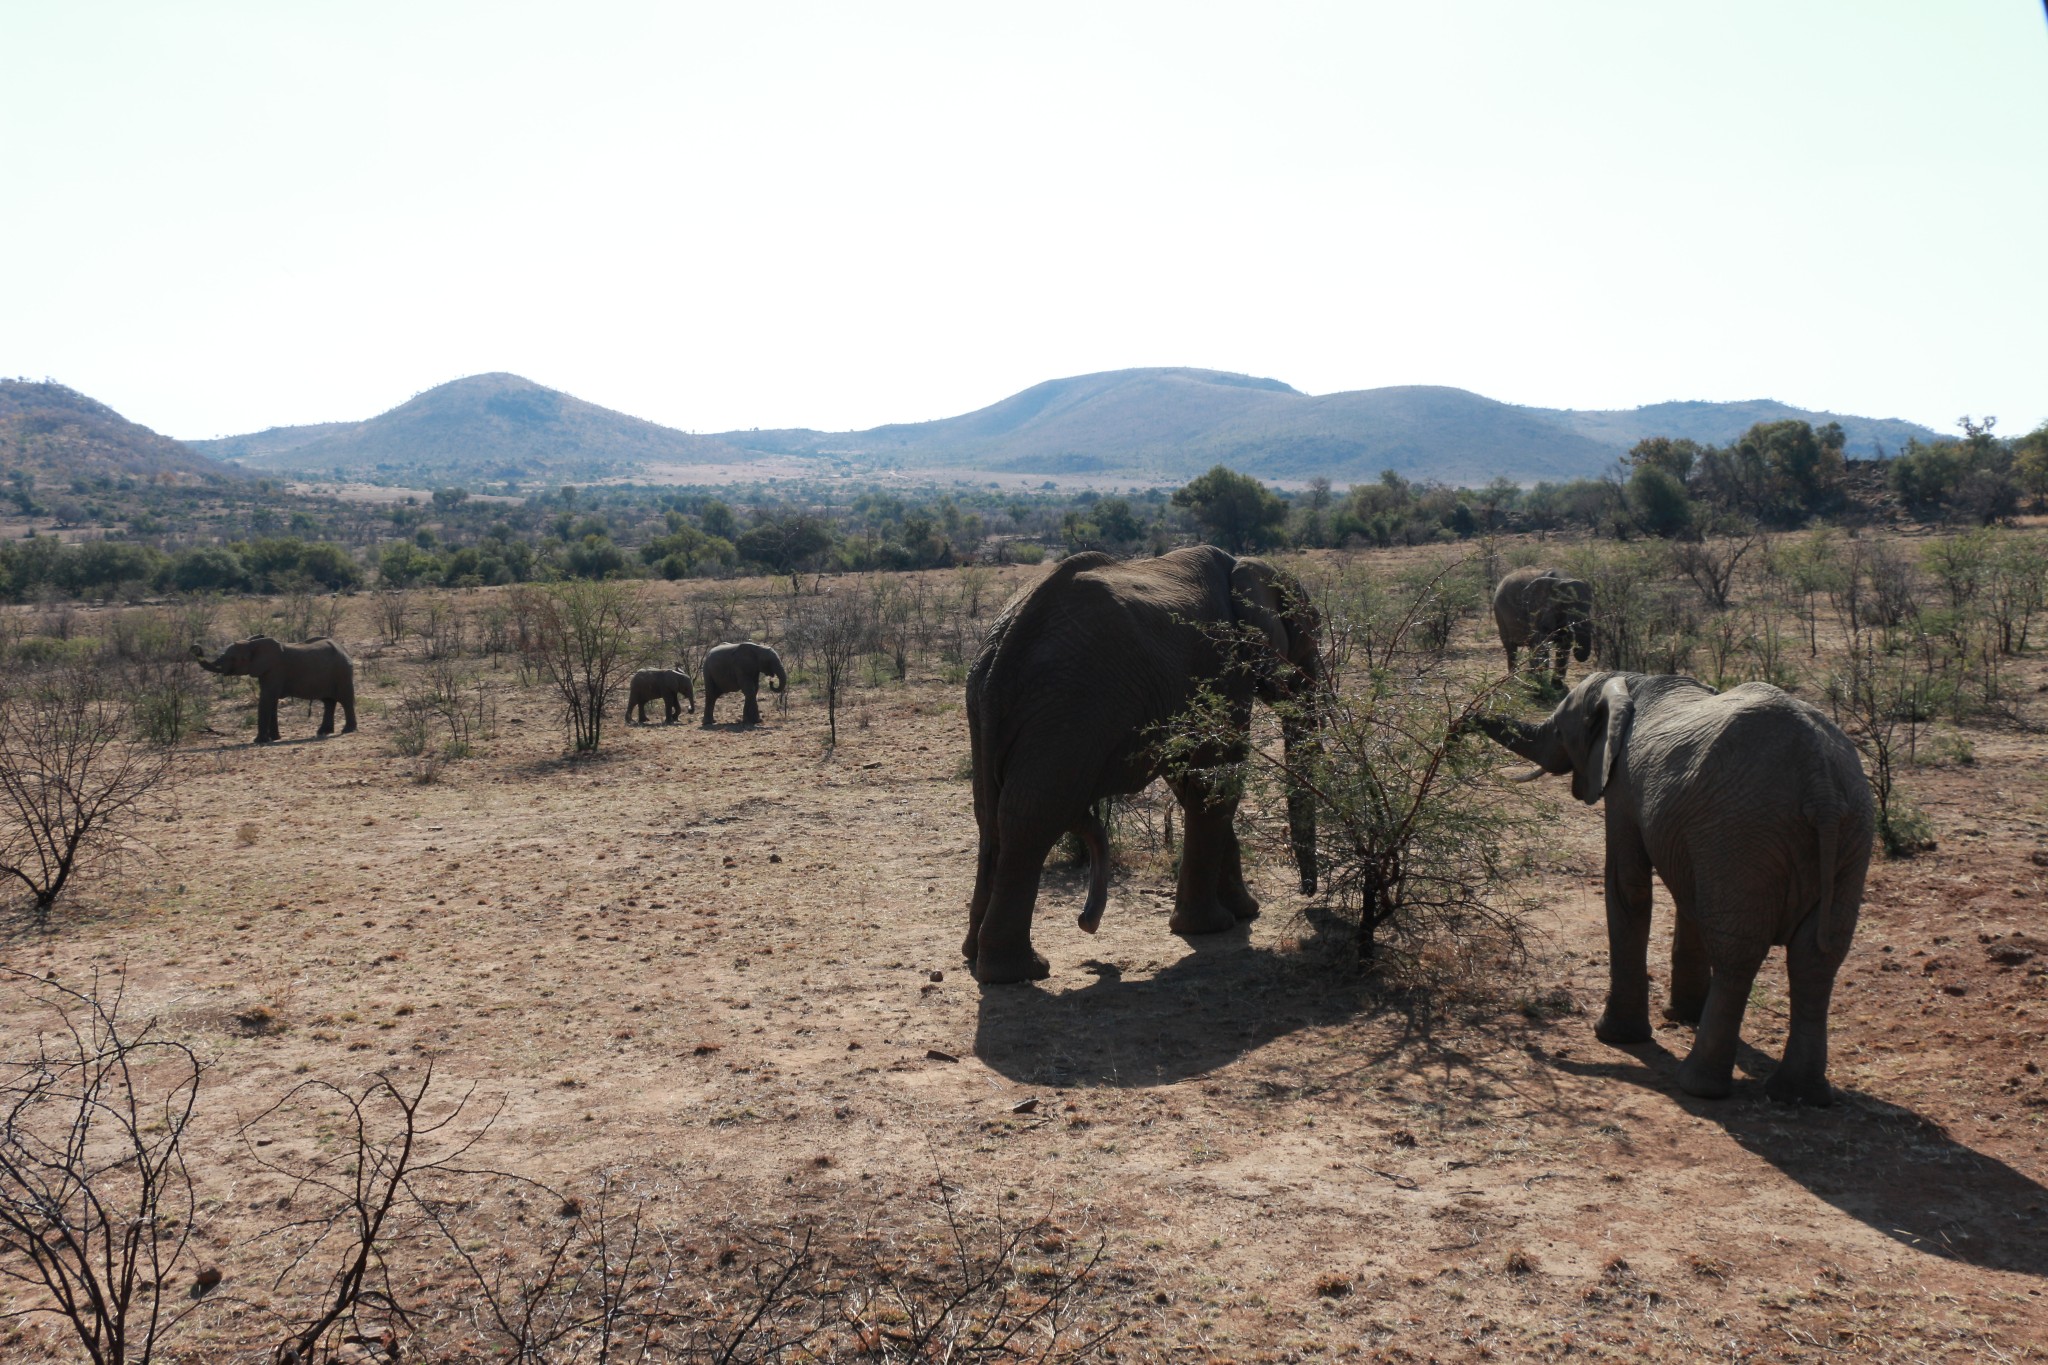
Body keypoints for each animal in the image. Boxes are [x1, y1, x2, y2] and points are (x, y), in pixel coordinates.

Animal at [193, 634, 358, 740]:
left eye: (233, 658)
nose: (196, 647)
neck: (252, 644)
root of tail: (343, 649)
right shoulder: (266, 672)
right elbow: (271, 701)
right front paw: (274, 738)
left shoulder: (275, 670)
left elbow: (267, 699)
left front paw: (259, 741)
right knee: (328, 701)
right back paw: (323, 732)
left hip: (342, 672)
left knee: (345, 700)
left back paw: (347, 730)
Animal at [962, 548, 1318, 986]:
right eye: (1310, 635)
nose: (1307, 895)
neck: (1244, 566)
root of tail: (1006, 643)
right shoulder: (1226, 663)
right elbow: (1218, 778)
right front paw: (1211, 927)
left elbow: (1191, 779)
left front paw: (1242, 912)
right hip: (1068, 709)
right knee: (1033, 817)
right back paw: (1019, 972)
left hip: (987, 705)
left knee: (990, 816)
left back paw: (976, 957)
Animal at [1474, 671, 1875, 1113]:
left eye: (1561, 731)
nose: (1461, 719)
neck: (1627, 682)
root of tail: (1821, 783)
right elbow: (1690, 899)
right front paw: (1681, 1016)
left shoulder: (1623, 785)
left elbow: (1627, 885)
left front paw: (1614, 1036)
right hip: (1852, 833)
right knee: (1817, 957)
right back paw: (1801, 1096)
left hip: (1742, 832)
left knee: (1738, 954)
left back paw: (1698, 1086)